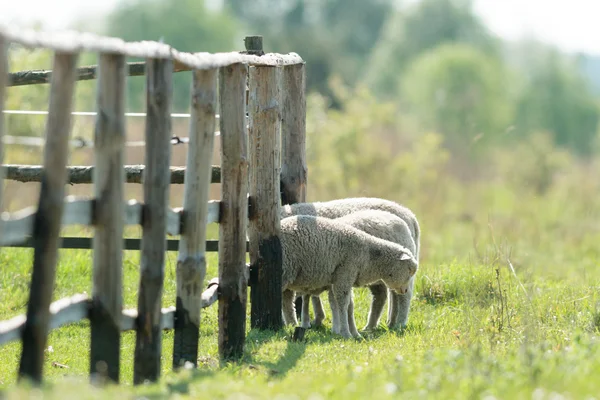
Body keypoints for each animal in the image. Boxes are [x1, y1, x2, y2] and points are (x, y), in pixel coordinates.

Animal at [278, 195, 420, 330]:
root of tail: (410, 216)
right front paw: (301, 322)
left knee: (404, 296)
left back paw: (399, 324)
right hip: (383, 272)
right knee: (386, 295)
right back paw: (380, 324)